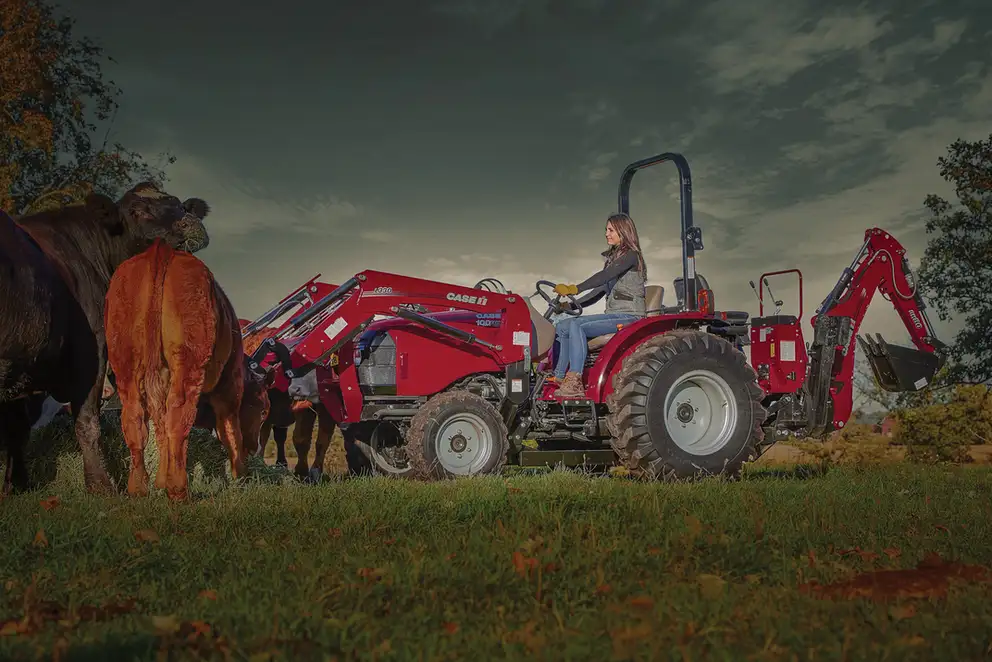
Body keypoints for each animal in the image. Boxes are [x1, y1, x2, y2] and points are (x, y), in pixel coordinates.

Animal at [0, 184, 211, 496]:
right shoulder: (92, 353)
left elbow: (16, 430)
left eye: (180, 205)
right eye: (136, 212)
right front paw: (100, 485)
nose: (188, 223)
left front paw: (16, 485)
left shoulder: (24, 365)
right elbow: (87, 421)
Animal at [107, 241, 260, 500]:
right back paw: (179, 491)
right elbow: (229, 428)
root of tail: (161, 250)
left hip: (126, 364)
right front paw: (241, 476)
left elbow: (160, 429)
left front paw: (161, 480)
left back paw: (138, 488)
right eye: (264, 409)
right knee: (179, 417)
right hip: (188, 364)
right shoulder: (229, 383)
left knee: (135, 419)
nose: (255, 447)